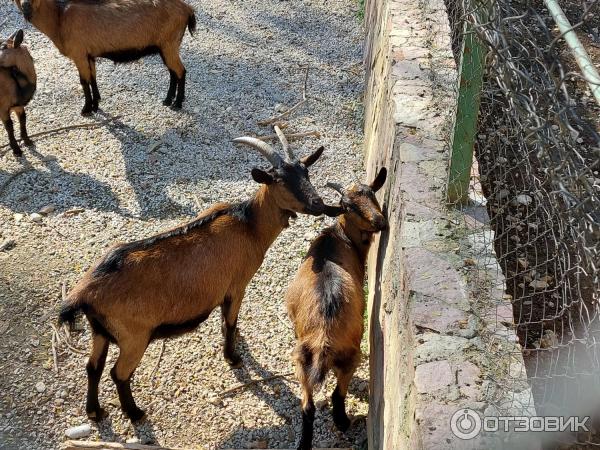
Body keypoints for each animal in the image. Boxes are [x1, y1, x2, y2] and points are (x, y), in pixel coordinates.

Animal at [0, 28, 36, 158]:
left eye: (3, 46)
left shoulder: (19, 106)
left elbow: (23, 120)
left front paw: (27, 141)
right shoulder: (3, 108)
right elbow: (9, 127)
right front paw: (16, 150)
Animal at [13, 0, 197, 114]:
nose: (27, 7)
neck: (60, 19)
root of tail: (188, 9)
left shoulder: (79, 53)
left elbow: (84, 81)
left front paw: (86, 108)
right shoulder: (89, 54)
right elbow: (93, 77)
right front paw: (96, 103)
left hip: (169, 43)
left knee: (180, 71)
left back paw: (178, 103)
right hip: (166, 47)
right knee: (173, 72)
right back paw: (168, 100)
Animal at [286, 166, 390, 450]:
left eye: (372, 194)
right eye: (348, 206)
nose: (380, 221)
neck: (338, 239)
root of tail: (323, 340)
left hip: (301, 357)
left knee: (307, 406)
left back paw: (304, 444)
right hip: (352, 354)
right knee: (336, 393)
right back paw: (343, 421)